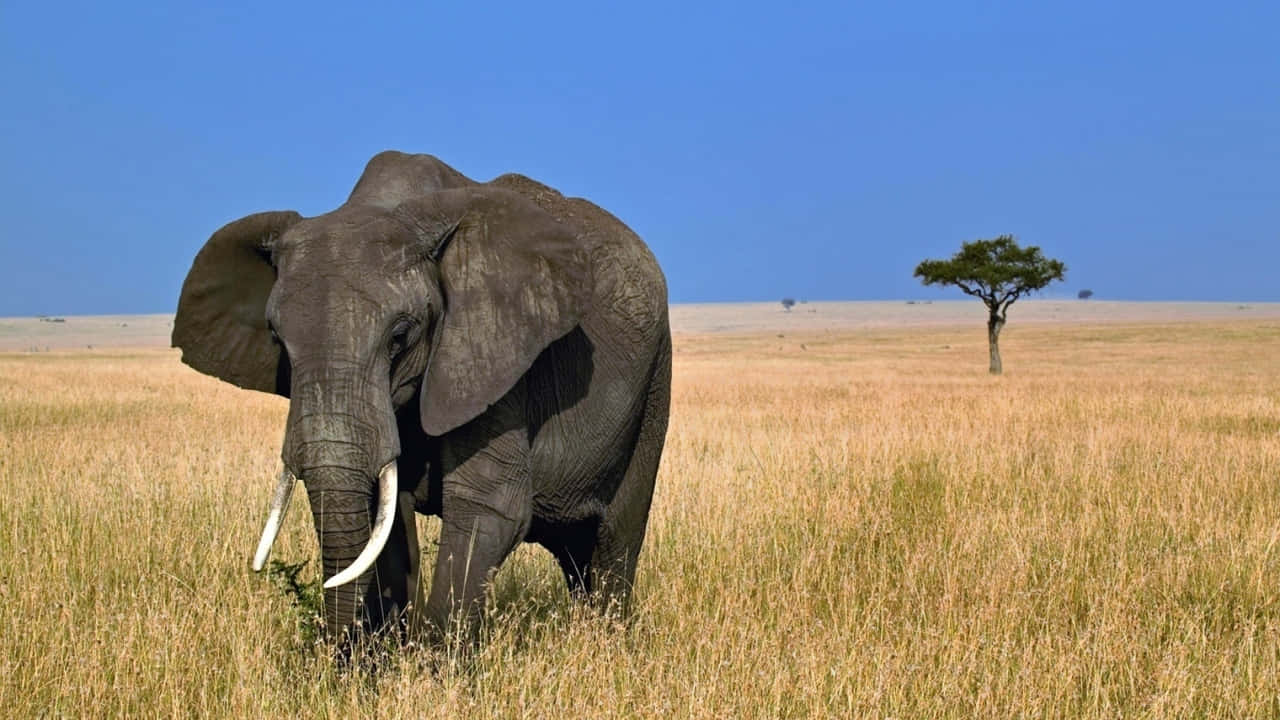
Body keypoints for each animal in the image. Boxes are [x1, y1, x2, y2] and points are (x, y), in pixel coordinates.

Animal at [172, 150, 671, 644]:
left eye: (400, 337)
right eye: (277, 339)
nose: (338, 650)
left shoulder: (491, 352)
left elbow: (489, 504)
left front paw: (434, 662)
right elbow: (388, 518)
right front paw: (384, 655)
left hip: (653, 384)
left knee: (613, 541)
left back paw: (606, 640)